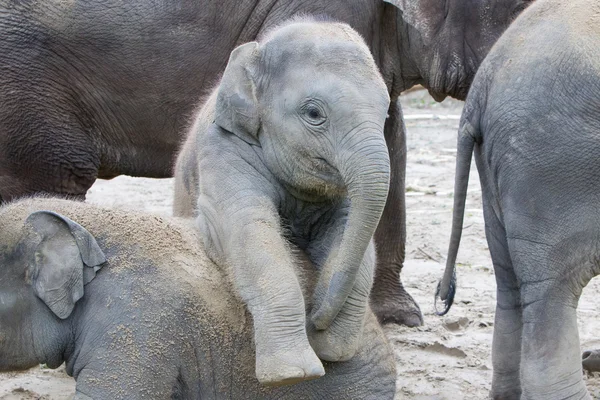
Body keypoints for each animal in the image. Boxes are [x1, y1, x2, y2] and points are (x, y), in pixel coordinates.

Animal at [171, 20, 392, 386]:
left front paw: (333, 350)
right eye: (314, 113)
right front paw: (293, 374)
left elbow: (349, 231)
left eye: (387, 113)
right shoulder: (222, 148)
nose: (315, 321)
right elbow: (248, 230)